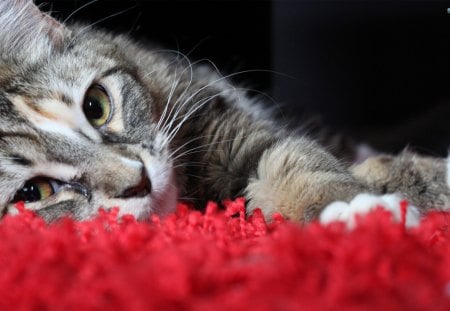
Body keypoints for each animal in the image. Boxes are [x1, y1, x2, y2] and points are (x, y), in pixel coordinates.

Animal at [0, 0, 448, 227]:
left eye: (96, 107)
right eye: (33, 193)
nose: (140, 181)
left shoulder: (220, 122)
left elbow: (294, 166)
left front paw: (358, 208)